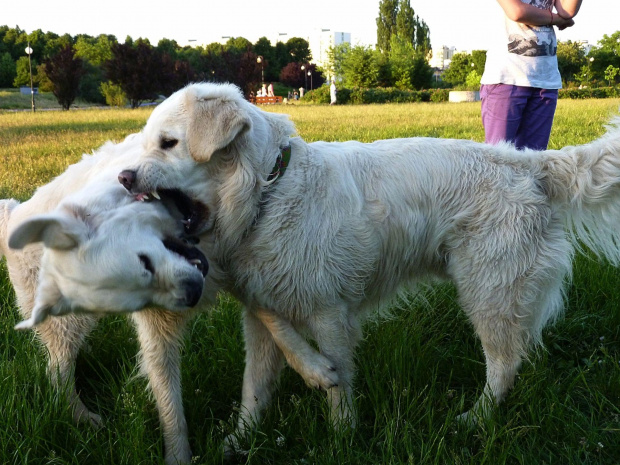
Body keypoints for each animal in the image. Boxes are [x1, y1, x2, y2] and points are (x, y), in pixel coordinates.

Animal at [0, 132, 213, 462]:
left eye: (144, 262)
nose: (193, 294)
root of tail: (11, 217)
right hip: (69, 324)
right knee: (57, 372)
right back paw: (83, 418)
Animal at [116, 80, 620, 456]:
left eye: (168, 143)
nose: (123, 177)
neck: (269, 191)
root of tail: (528, 163)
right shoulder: (262, 316)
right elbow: (254, 388)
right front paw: (239, 441)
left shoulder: (329, 314)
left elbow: (338, 384)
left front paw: (342, 439)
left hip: (488, 292)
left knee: (503, 366)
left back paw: (472, 420)